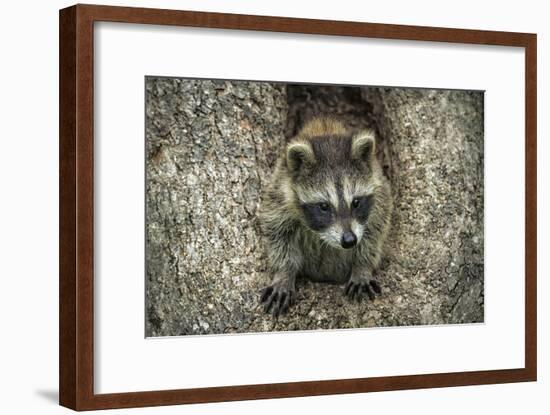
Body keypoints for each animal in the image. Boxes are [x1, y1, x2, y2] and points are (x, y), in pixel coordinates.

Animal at [258, 117, 392, 318]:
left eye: (356, 202)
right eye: (324, 206)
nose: (349, 240)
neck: (326, 131)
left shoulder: (380, 193)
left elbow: (374, 232)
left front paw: (362, 266)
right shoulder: (280, 194)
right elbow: (278, 235)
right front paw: (284, 273)